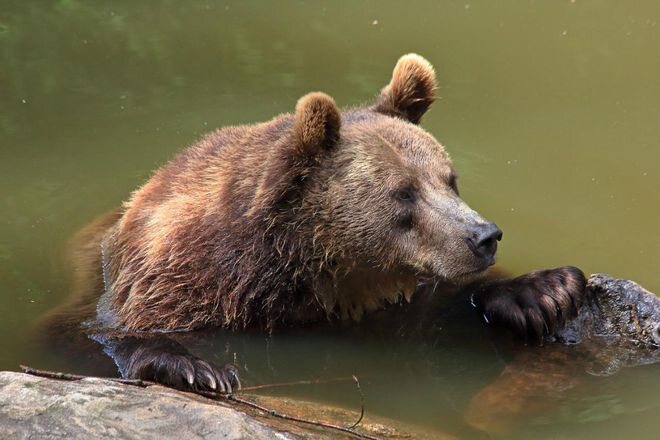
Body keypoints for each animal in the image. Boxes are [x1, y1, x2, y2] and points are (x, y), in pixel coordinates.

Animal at [42, 53, 584, 394]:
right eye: (404, 193)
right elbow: (83, 333)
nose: (484, 236)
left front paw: (545, 291)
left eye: (450, 180)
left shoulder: (389, 295)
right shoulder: (168, 281)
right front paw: (196, 368)